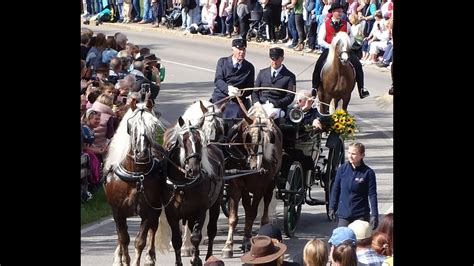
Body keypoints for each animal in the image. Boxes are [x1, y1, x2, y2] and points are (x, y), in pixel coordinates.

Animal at [103, 100, 166, 266]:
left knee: (153, 228)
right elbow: (123, 238)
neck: (136, 176)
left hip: (156, 208)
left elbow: (140, 241)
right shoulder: (117, 211)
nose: (142, 153)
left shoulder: (148, 211)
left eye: (153, 125)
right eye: (130, 126)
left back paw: (150, 257)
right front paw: (123, 259)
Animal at [221, 102, 284, 258]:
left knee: (265, 207)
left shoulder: (260, 188)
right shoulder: (235, 186)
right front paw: (228, 246)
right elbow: (234, 217)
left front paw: (247, 241)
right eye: (249, 137)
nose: (257, 166)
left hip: (270, 183)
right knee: (247, 206)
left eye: (269, 138)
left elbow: (252, 213)